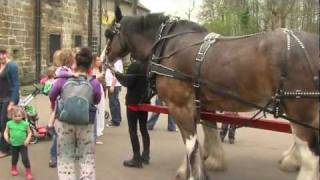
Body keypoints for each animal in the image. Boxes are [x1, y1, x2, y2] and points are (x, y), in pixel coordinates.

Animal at [104, 6, 318, 180]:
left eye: (108, 33)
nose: (104, 59)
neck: (166, 45)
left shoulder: (179, 106)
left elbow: (191, 144)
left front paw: (193, 173)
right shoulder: (202, 103)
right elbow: (205, 136)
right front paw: (209, 162)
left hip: (299, 110)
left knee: (310, 156)